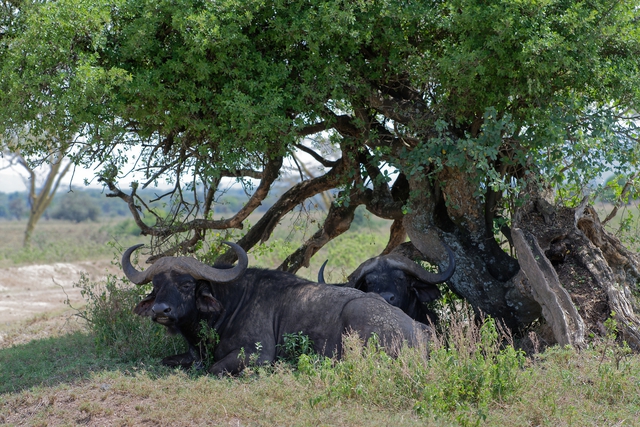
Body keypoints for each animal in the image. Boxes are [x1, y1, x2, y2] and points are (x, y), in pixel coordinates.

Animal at [122, 242, 428, 376]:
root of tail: (420, 331)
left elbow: (214, 368)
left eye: (186, 284)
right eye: (156, 285)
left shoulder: (258, 355)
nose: (160, 310)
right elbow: (168, 360)